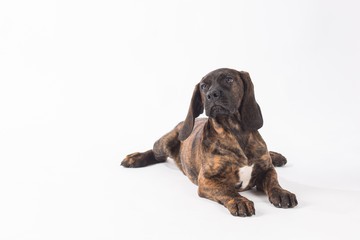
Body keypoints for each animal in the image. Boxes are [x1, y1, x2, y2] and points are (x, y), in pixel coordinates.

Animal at [121, 68, 298, 218]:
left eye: (229, 79)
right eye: (204, 86)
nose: (212, 95)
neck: (234, 131)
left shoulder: (266, 169)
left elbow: (273, 181)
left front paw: (282, 192)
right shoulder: (207, 180)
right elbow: (227, 190)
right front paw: (239, 201)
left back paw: (277, 156)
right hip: (166, 142)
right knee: (157, 154)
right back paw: (135, 158)